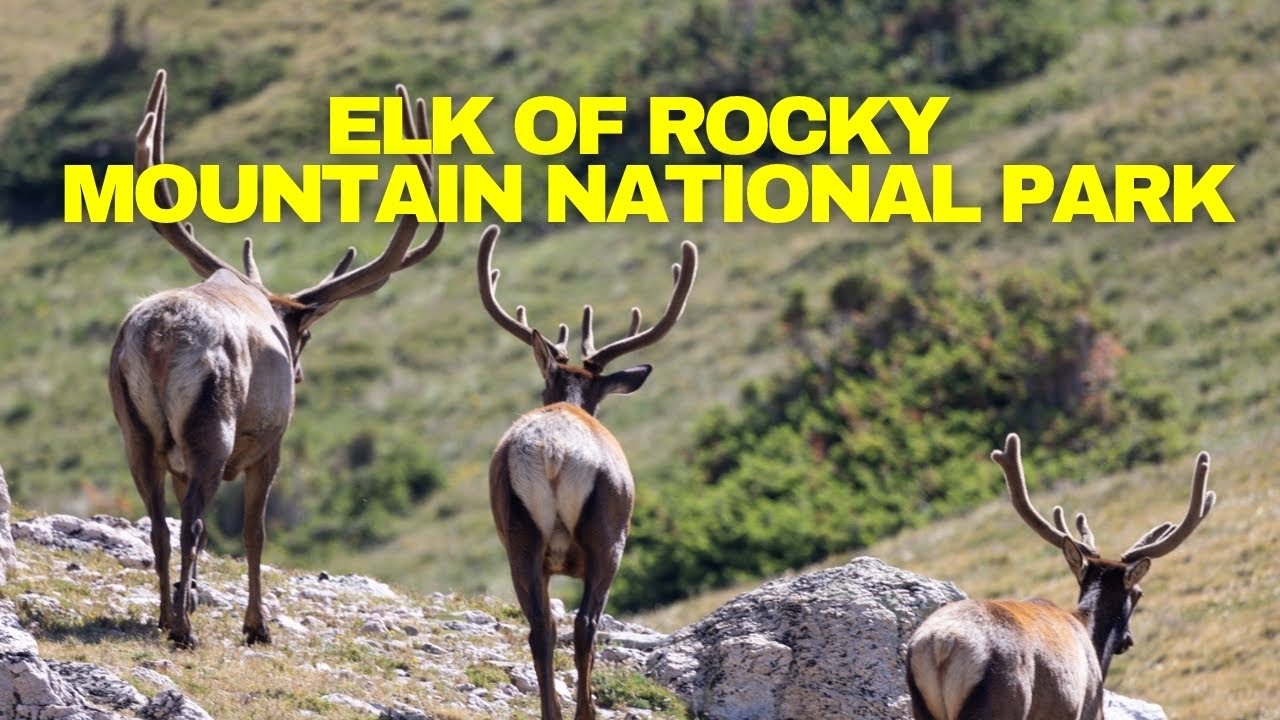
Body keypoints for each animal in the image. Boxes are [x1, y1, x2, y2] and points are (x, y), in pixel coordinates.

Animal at [108, 69, 443, 648]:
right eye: (303, 335)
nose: (301, 372)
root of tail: (159, 338)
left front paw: (187, 600)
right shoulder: (272, 443)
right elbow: (255, 532)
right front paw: (256, 624)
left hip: (136, 431)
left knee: (158, 525)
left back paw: (167, 618)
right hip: (213, 425)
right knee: (194, 523)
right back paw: (186, 630)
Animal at [477, 225, 697, 720]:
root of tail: (554, 451)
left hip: (518, 533)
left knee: (541, 627)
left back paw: (552, 712)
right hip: (608, 534)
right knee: (586, 624)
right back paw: (585, 711)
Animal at [906, 433, 1216, 720]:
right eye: (1139, 593)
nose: (1128, 640)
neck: (1091, 638)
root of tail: (942, 645)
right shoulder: (1090, 707)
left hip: (920, 704)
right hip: (1003, 701)